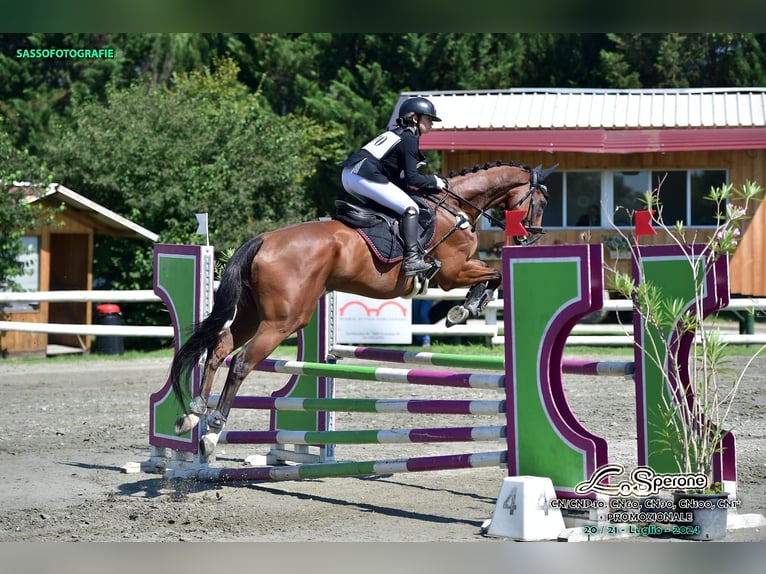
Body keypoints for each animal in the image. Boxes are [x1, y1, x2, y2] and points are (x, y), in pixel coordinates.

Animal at [171, 160, 556, 456]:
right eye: (541, 201)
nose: (532, 237)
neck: (455, 208)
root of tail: (261, 240)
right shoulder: (453, 271)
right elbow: (494, 276)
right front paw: (464, 309)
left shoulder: (457, 271)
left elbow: (491, 277)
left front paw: (462, 310)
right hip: (283, 321)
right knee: (240, 363)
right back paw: (212, 431)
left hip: (253, 315)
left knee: (219, 348)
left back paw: (193, 414)